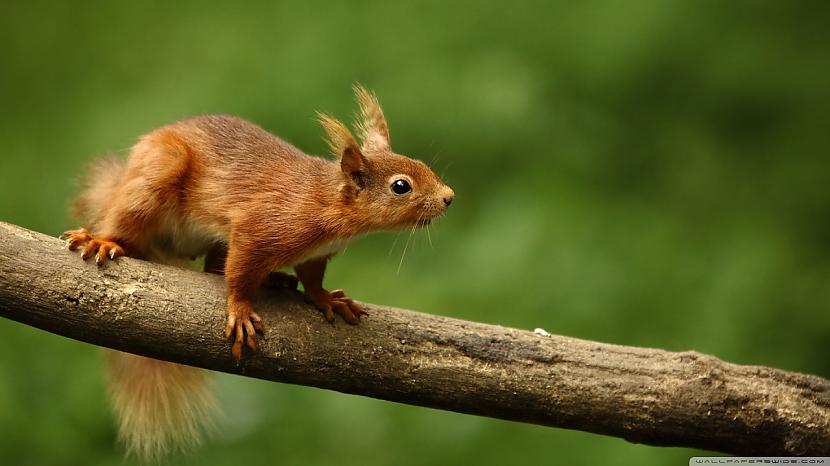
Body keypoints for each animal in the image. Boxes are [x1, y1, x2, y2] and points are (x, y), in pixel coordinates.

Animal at [63, 84, 456, 458]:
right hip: (156, 175)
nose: (449, 197)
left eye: (420, 163)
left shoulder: (316, 254)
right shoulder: (258, 228)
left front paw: (327, 299)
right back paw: (102, 240)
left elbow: (312, 279)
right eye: (401, 186)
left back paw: (276, 279)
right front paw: (239, 310)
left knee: (212, 267)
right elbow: (239, 274)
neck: (328, 203)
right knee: (127, 221)